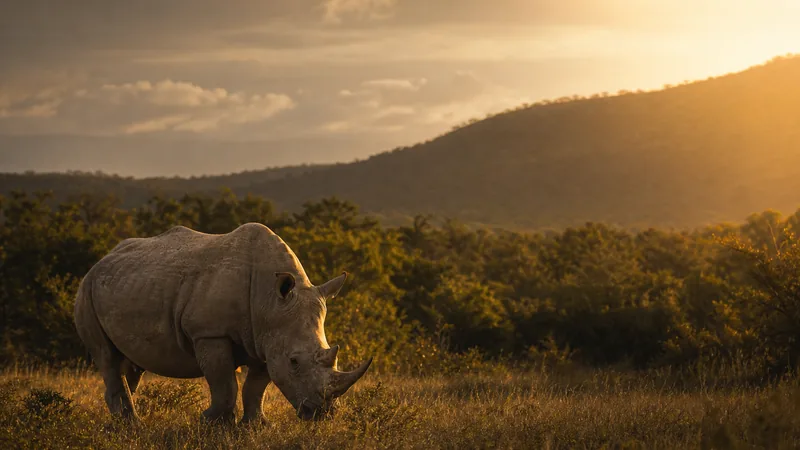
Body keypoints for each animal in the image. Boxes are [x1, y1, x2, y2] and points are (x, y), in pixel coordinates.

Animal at [73, 223, 373, 423]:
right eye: (294, 362)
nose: (321, 414)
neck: (269, 301)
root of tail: (101, 260)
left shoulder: (266, 338)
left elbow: (257, 387)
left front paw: (255, 426)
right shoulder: (209, 332)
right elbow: (224, 382)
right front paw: (212, 424)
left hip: (126, 284)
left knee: (130, 364)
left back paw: (125, 423)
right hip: (86, 290)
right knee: (107, 356)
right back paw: (131, 426)